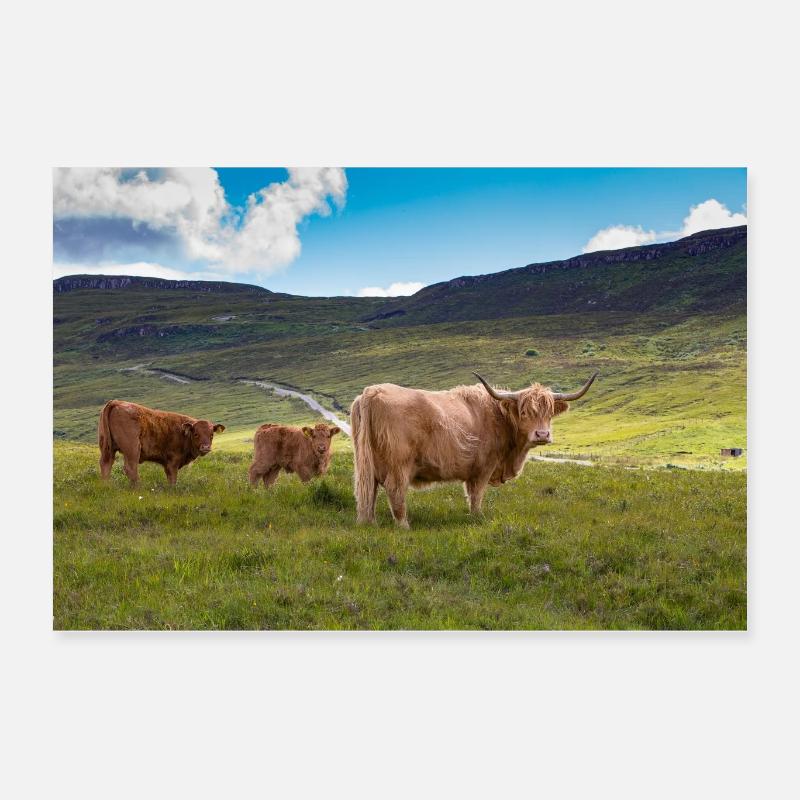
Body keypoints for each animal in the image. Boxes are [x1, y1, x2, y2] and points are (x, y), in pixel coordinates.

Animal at [350, 372, 597, 528]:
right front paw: (477, 517)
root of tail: (372, 391)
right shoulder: (483, 468)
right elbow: (476, 496)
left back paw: (369, 523)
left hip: (366, 464)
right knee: (395, 491)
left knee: (368, 491)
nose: (542, 435)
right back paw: (404, 526)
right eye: (524, 412)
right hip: (399, 465)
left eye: (549, 413)